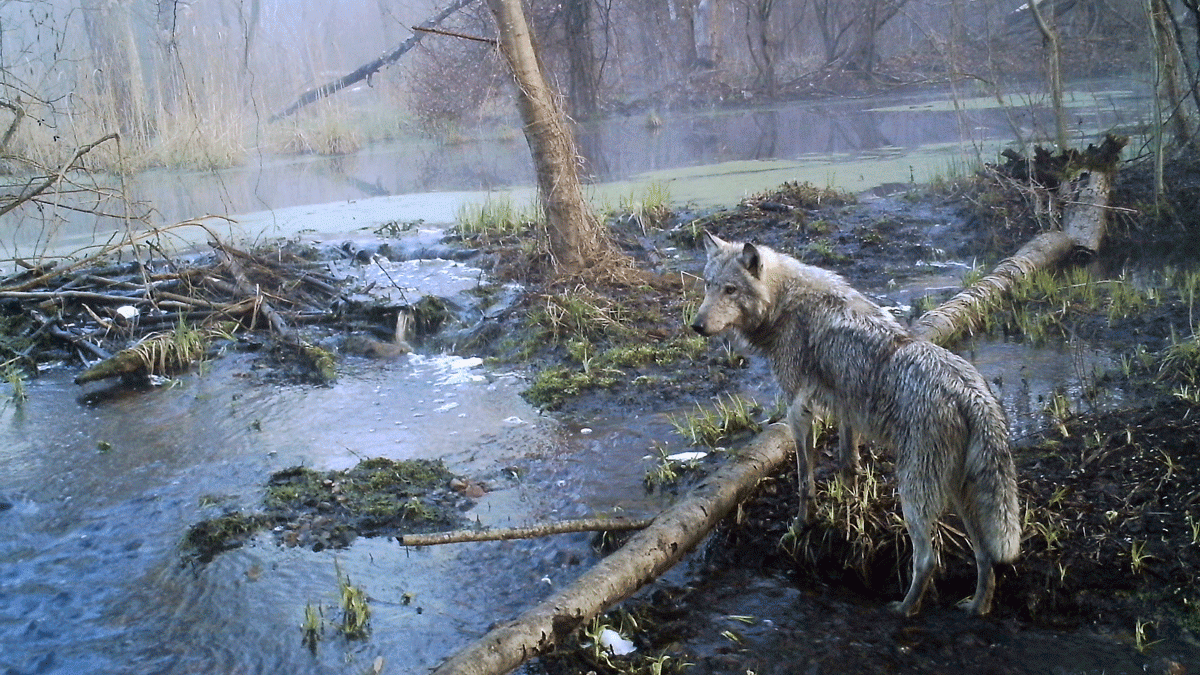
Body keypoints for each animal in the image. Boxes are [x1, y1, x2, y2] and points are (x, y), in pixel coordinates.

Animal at [691, 233, 1017, 614]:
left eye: (730, 290)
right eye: (708, 285)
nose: (697, 326)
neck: (784, 302)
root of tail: (972, 394)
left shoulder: (799, 410)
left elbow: (804, 481)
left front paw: (801, 526)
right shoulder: (846, 408)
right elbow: (848, 464)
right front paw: (847, 512)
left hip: (915, 495)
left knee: (927, 560)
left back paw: (903, 610)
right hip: (958, 495)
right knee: (985, 556)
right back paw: (976, 607)